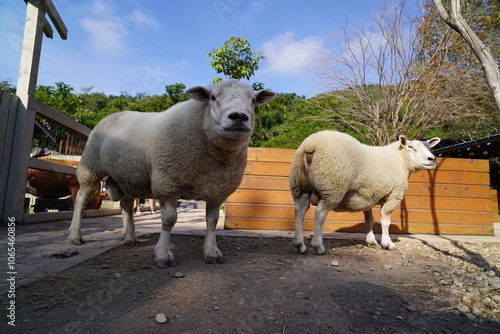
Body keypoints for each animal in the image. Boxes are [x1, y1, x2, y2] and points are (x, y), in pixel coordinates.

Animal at [68, 79, 276, 268]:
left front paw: (211, 251)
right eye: (212, 97)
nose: (239, 116)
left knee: (126, 206)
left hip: (128, 178)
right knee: (81, 200)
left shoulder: (217, 191)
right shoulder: (167, 184)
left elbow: (212, 221)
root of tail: (115, 114)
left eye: (252, 100)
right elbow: (169, 220)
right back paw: (75, 236)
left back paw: (130, 238)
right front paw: (163, 254)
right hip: (91, 168)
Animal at [288, 130, 440, 253]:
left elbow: (369, 219)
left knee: (299, 211)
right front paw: (387, 243)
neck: (399, 160)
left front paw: (371, 241)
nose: (432, 159)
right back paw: (318, 246)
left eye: (429, 147)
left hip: (300, 186)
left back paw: (299, 245)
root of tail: (311, 145)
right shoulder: (393, 195)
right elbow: (385, 221)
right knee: (320, 214)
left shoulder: (368, 196)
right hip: (332, 188)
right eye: (411, 147)